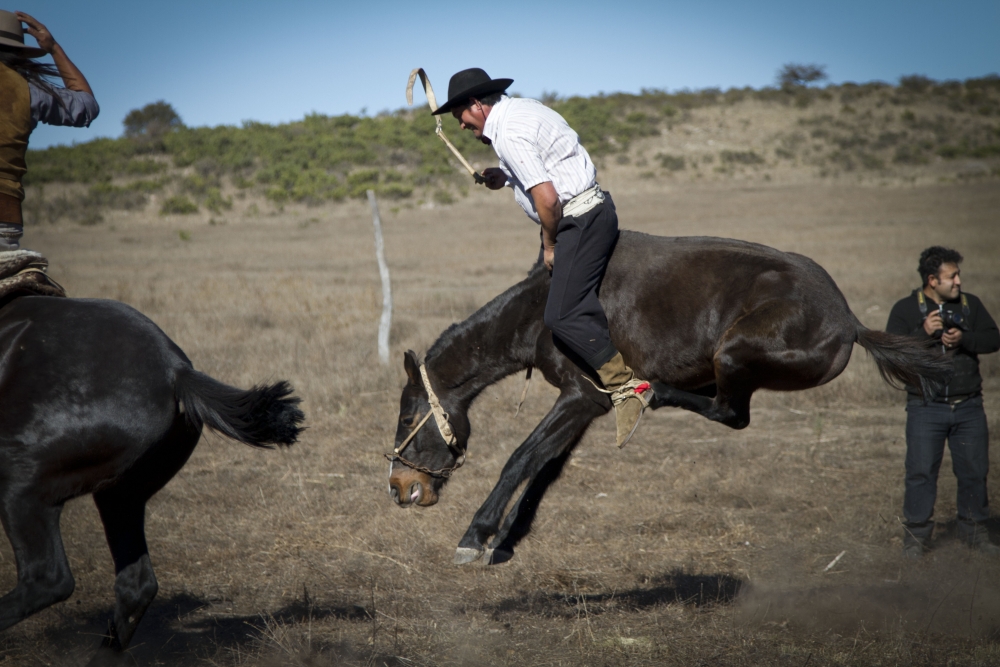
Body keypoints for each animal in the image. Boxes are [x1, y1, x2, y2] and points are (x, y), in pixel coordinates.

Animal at [386, 232, 948, 568]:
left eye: (409, 415)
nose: (399, 487)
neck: (540, 312)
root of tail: (848, 320)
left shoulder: (578, 397)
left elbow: (521, 458)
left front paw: (476, 535)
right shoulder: (587, 406)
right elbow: (545, 469)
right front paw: (507, 539)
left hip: (734, 351)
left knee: (731, 412)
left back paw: (654, 392)